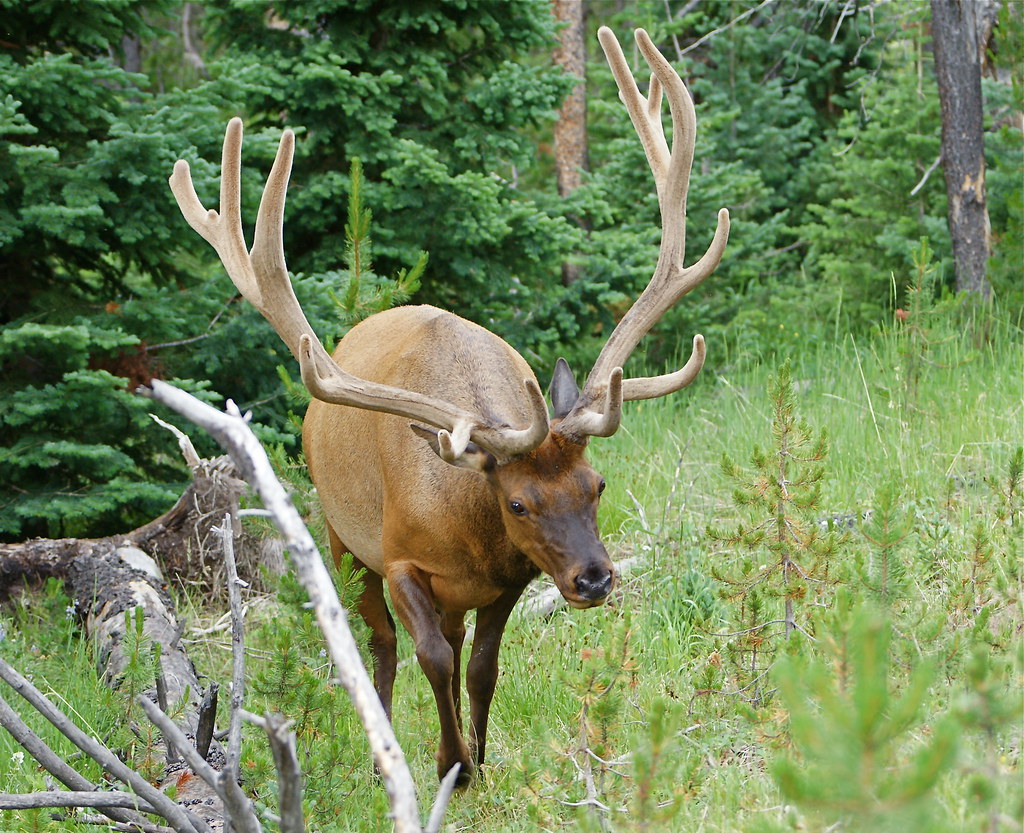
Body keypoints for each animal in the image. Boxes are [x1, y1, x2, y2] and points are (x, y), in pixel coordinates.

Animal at [167, 27, 728, 788]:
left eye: (598, 484)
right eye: (518, 501)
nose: (594, 578)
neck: (465, 524)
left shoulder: (513, 575)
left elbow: (484, 664)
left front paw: (481, 759)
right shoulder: (402, 557)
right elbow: (426, 655)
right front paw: (449, 763)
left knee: (454, 644)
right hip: (342, 538)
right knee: (380, 643)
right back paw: (384, 747)